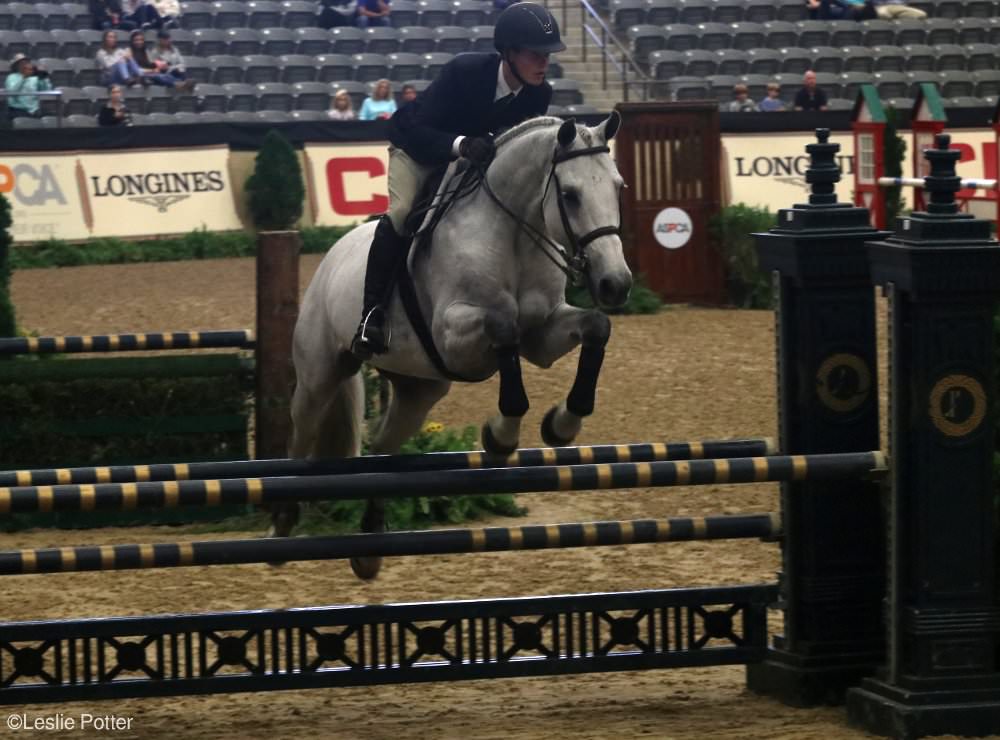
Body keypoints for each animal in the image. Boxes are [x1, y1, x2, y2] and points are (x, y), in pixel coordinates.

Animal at [272, 114, 632, 580]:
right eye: (569, 195)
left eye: (618, 187)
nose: (615, 284)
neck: (514, 236)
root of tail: (333, 255)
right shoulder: (453, 335)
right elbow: (503, 327)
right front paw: (501, 436)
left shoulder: (541, 335)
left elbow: (596, 326)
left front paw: (562, 424)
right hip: (319, 375)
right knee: (301, 436)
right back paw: (282, 526)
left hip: (418, 389)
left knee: (382, 449)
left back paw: (369, 547)